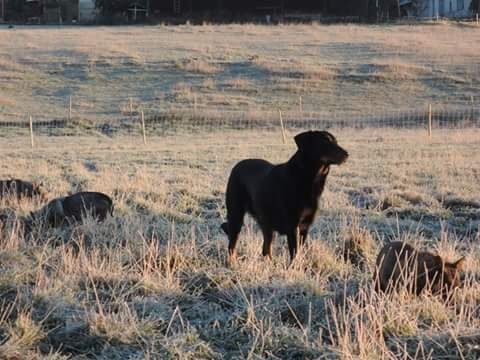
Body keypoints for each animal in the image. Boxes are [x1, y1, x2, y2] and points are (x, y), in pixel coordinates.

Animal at [221, 131, 348, 262]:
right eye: (325, 142)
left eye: (335, 141)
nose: (346, 154)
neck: (308, 177)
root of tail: (237, 166)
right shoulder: (293, 227)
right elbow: (295, 254)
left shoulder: (304, 226)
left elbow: (299, 251)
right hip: (236, 215)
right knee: (232, 245)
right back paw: (233, 263)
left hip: (266, 221)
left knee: (266, 247)